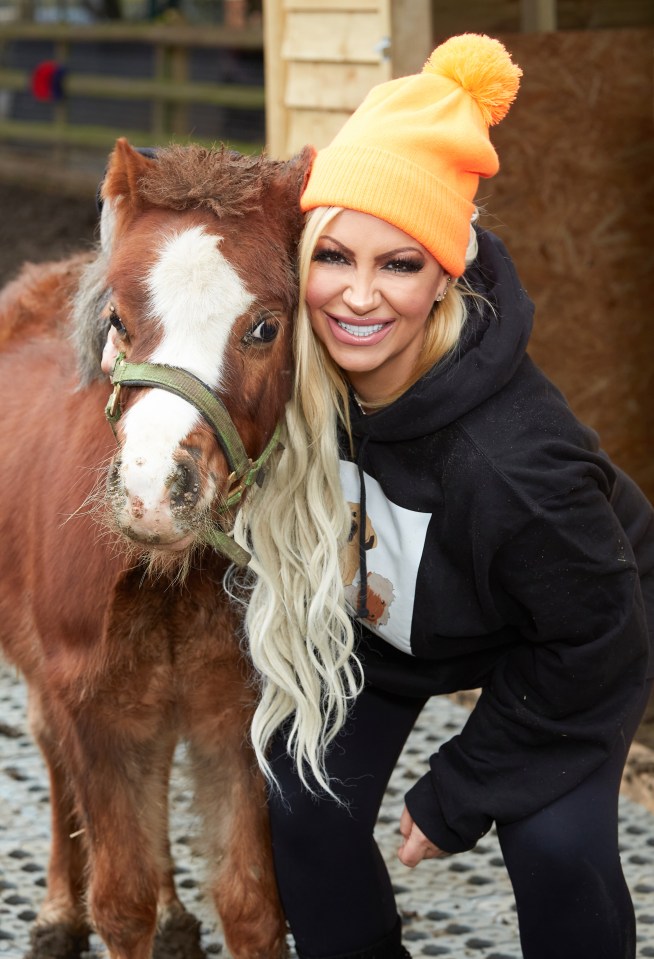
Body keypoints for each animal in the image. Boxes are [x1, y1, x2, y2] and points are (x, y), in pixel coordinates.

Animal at [0, 137, 314, 959]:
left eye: (265, 327)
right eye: (116, 318)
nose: (151, 488)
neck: (172, 573)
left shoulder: (237, 719)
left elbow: (251, 903)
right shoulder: (95, 713)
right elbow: (121, 903)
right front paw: (85, 909)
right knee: (48, 751)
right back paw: (57, 911)